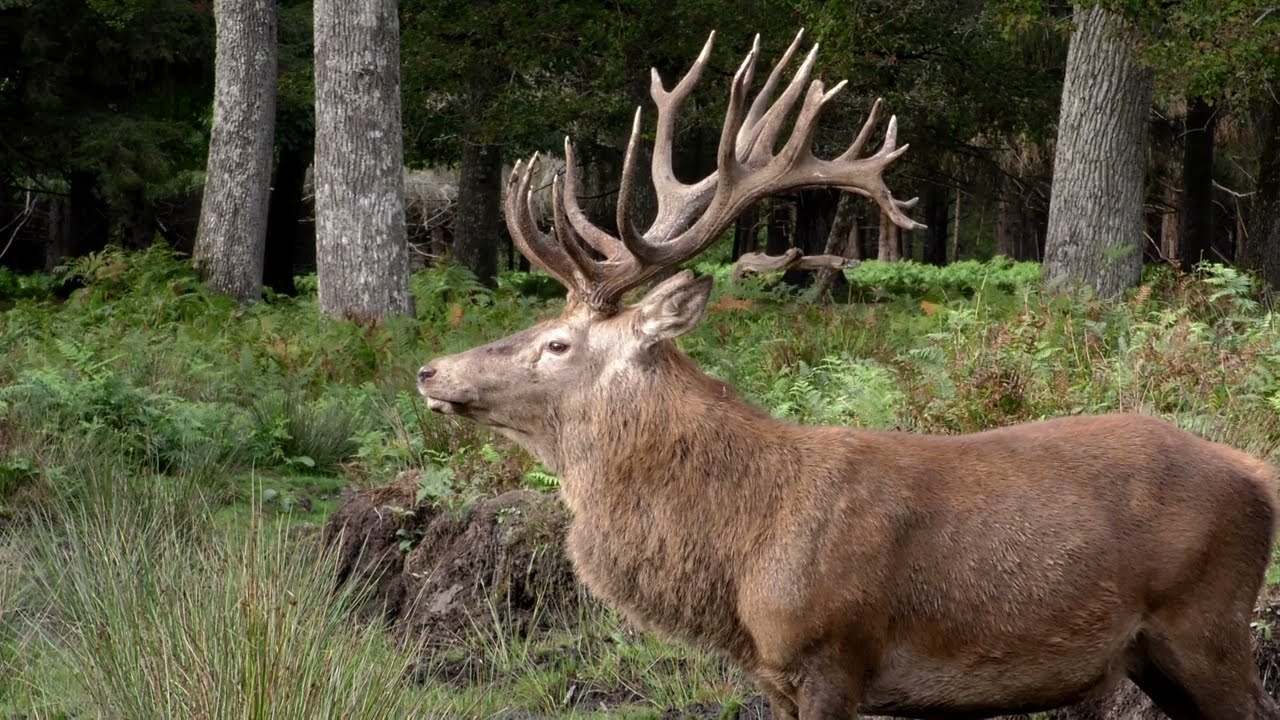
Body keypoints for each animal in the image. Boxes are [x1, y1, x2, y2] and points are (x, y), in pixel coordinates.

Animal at [416, 30, 1280, 720]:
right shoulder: (774, 676)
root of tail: (1256, 472)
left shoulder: (834, 652)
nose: (430, 371)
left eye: (558, 344)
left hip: (1206, 622)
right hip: (1157, 653)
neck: (741, 555)